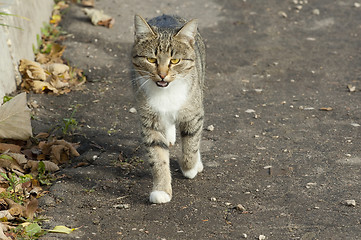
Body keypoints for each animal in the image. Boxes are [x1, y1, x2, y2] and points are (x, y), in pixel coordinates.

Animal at [131, 14, 205, 203]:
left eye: (175, 60)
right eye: (151, 59)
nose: (162, 75)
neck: (166, 91)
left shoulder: (193, 113)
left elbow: (191, 143)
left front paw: (190, 167)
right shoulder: (149, 121)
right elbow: (158, 157)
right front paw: (161, 190)